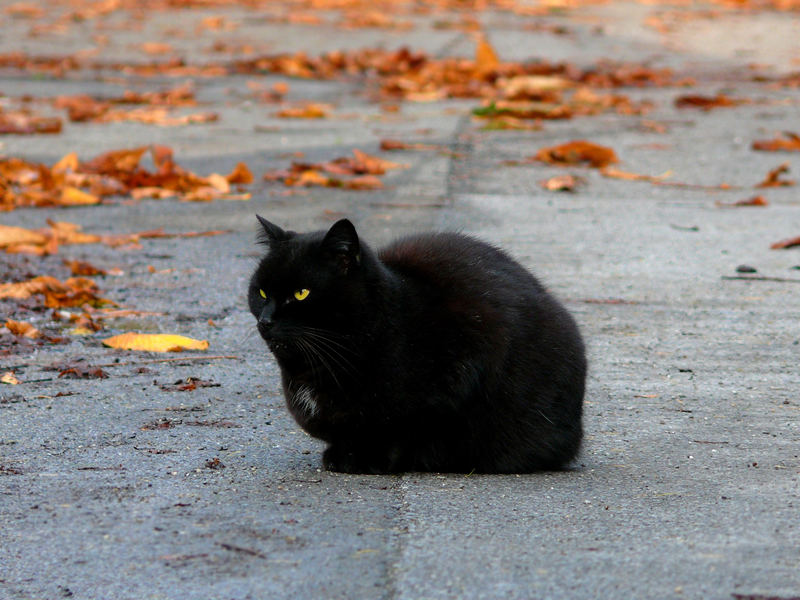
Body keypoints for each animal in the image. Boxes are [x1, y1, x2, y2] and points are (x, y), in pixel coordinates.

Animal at [250, 216, 588, 474]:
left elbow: (399, 431)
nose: (265, 321)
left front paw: (366, 460)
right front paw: (341, 454)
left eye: (301, 293)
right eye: (262, 292)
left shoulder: (467, 357)